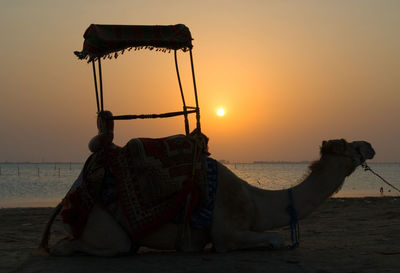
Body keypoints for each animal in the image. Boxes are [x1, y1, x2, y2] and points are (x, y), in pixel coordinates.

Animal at [38, 138, 376, 255]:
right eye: (350, 144)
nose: (370, 145)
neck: (255, 201)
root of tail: (72, 195)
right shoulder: (226, 231)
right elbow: (275, 239)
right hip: (102, 225)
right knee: (101, 245)